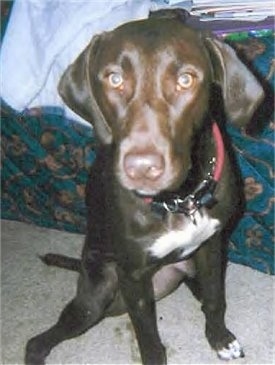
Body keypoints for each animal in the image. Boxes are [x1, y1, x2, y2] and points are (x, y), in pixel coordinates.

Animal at [24, 9, 264, 364]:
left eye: (186, 79)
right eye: (114, 79)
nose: (141, 169)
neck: (178, 200)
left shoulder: (210, 247)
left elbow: (214, 299)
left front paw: (220, 338)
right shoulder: (134, 277)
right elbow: (147, 334)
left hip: (186, 267)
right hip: (97, 295)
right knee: (38, 341)